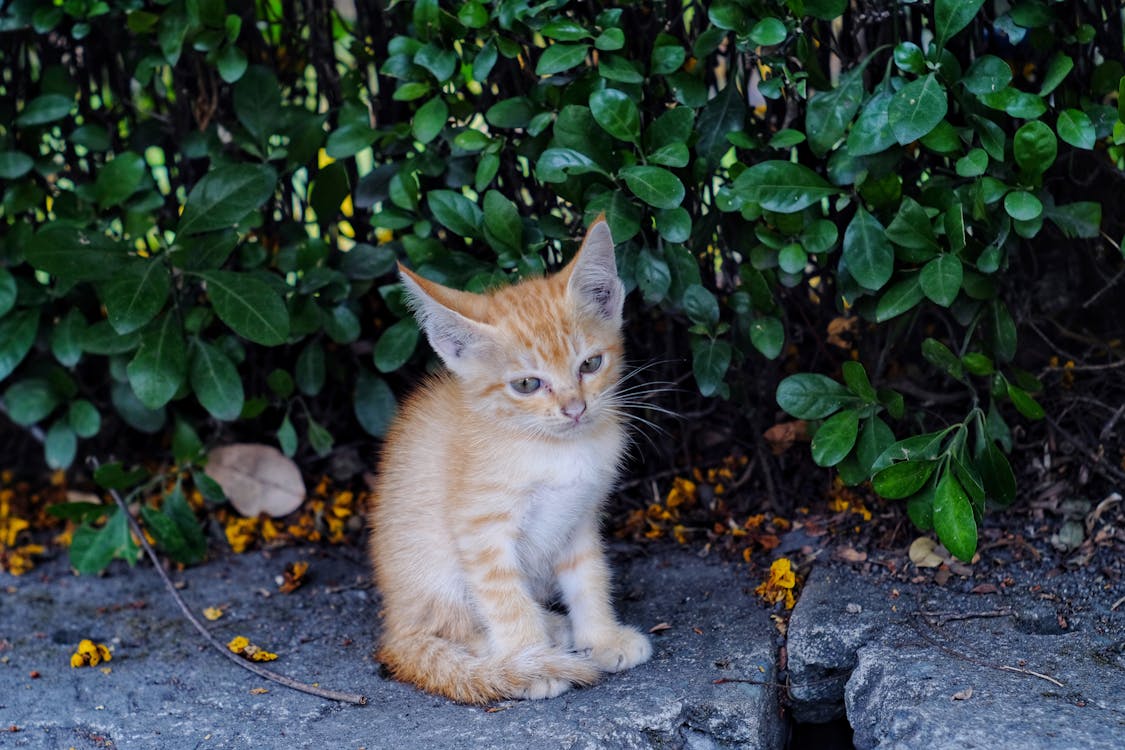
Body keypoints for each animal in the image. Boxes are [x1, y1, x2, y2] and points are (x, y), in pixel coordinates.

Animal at [369, 217, 652, 706]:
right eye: (526, 384)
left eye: (590, 364)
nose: (575, 409)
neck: (555, 449)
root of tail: (395, 627)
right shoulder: (481, 528)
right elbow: (504, 598)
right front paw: (529, 662)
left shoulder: (579, 515)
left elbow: (590, 577)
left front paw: (602, 638)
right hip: (433, 574)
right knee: (450, 629)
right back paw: (523, 651)